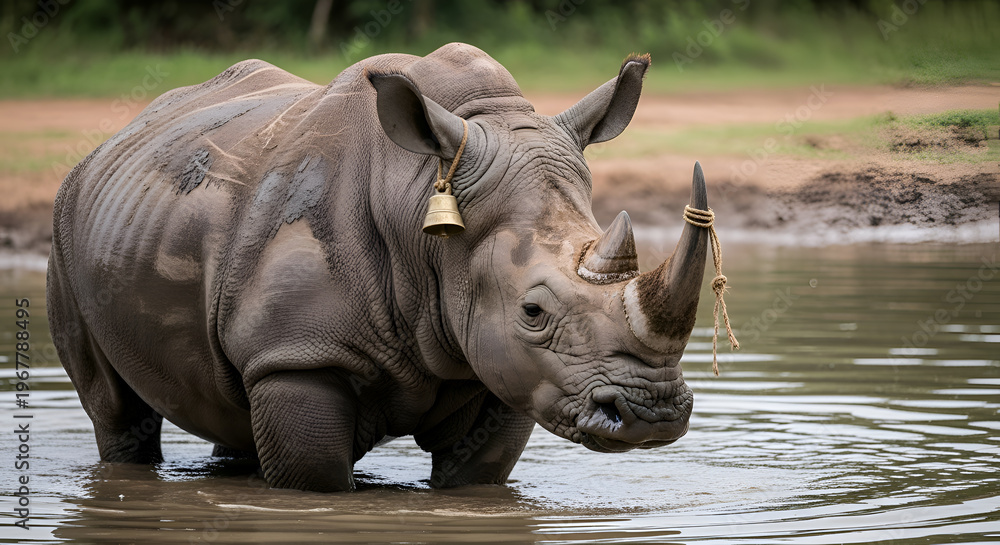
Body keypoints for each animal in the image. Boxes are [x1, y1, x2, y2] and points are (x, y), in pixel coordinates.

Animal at [47, 43, 713, 492]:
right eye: (532, 311)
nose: (651, 414)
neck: (419, 204)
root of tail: (114, 140)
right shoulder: (297, 355)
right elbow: (314, 478)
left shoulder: (506, 370)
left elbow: (476, 477)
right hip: (66, 219)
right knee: (116, 412)